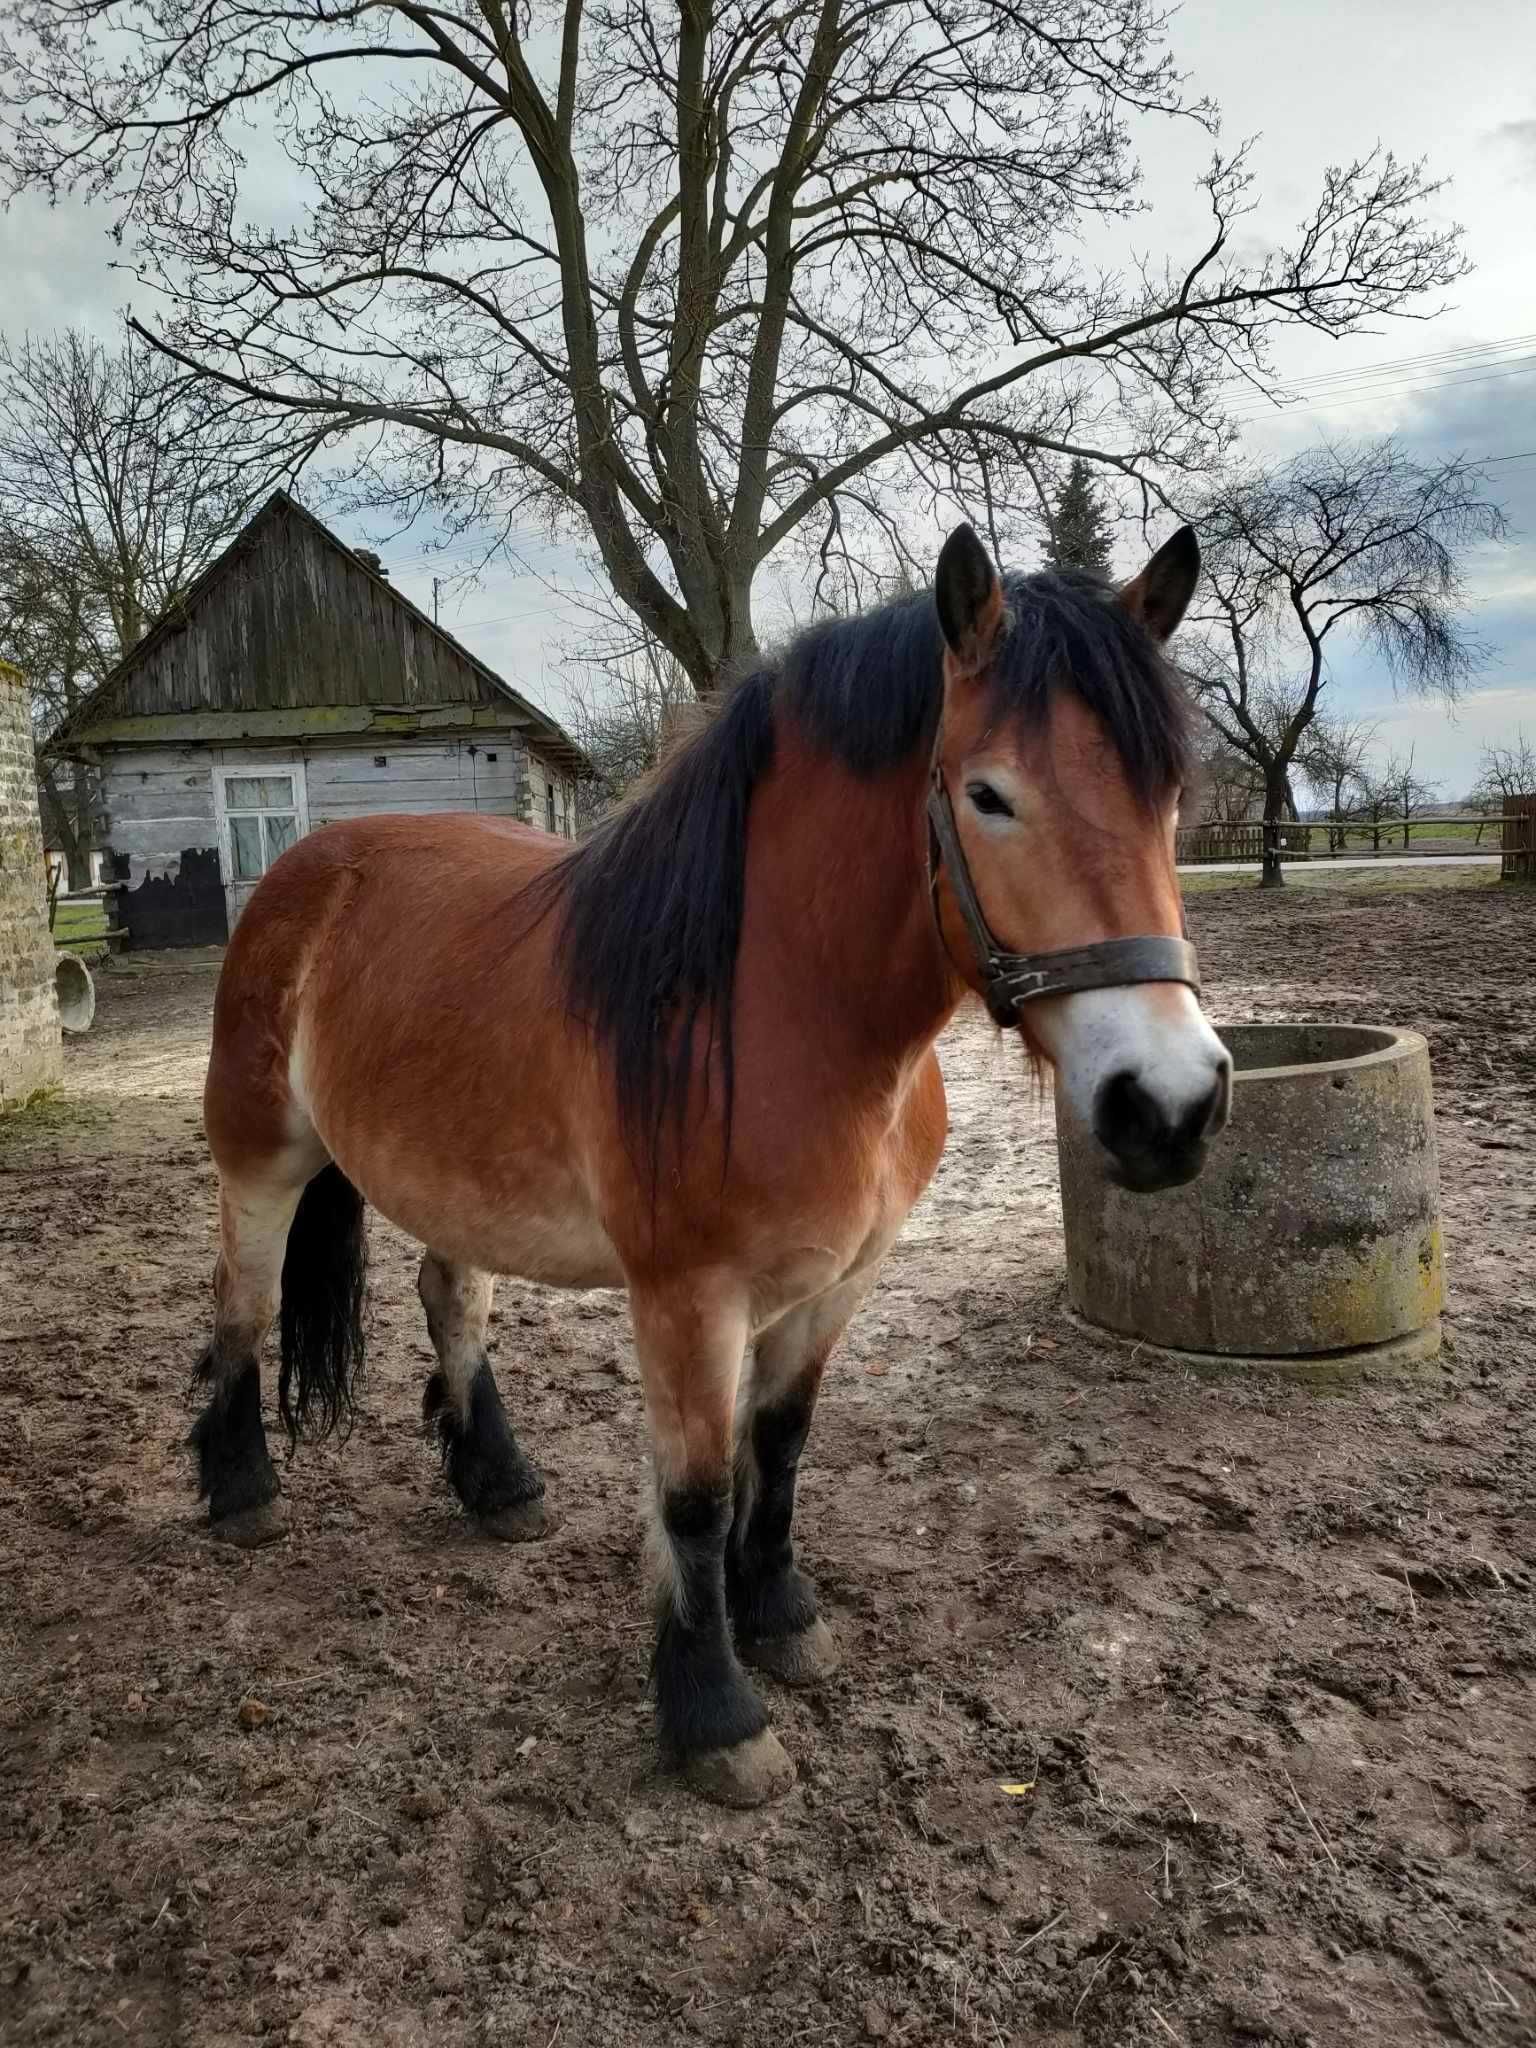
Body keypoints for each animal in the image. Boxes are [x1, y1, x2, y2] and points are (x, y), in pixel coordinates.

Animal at [192, 524, 1236, 1810]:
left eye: (1170, 796)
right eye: (990, 794)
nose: (1170, 1104)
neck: (773, 1003)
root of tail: (307, 865)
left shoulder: (837, 1283)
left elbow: (776, 1445)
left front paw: (778, 1612)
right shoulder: (689, 1299)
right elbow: (693, 1493)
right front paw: (713, 1711)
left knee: (451, 1297)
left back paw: (499, 1481)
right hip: (260, 1158)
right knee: (241, 1304)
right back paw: (240, 1489)